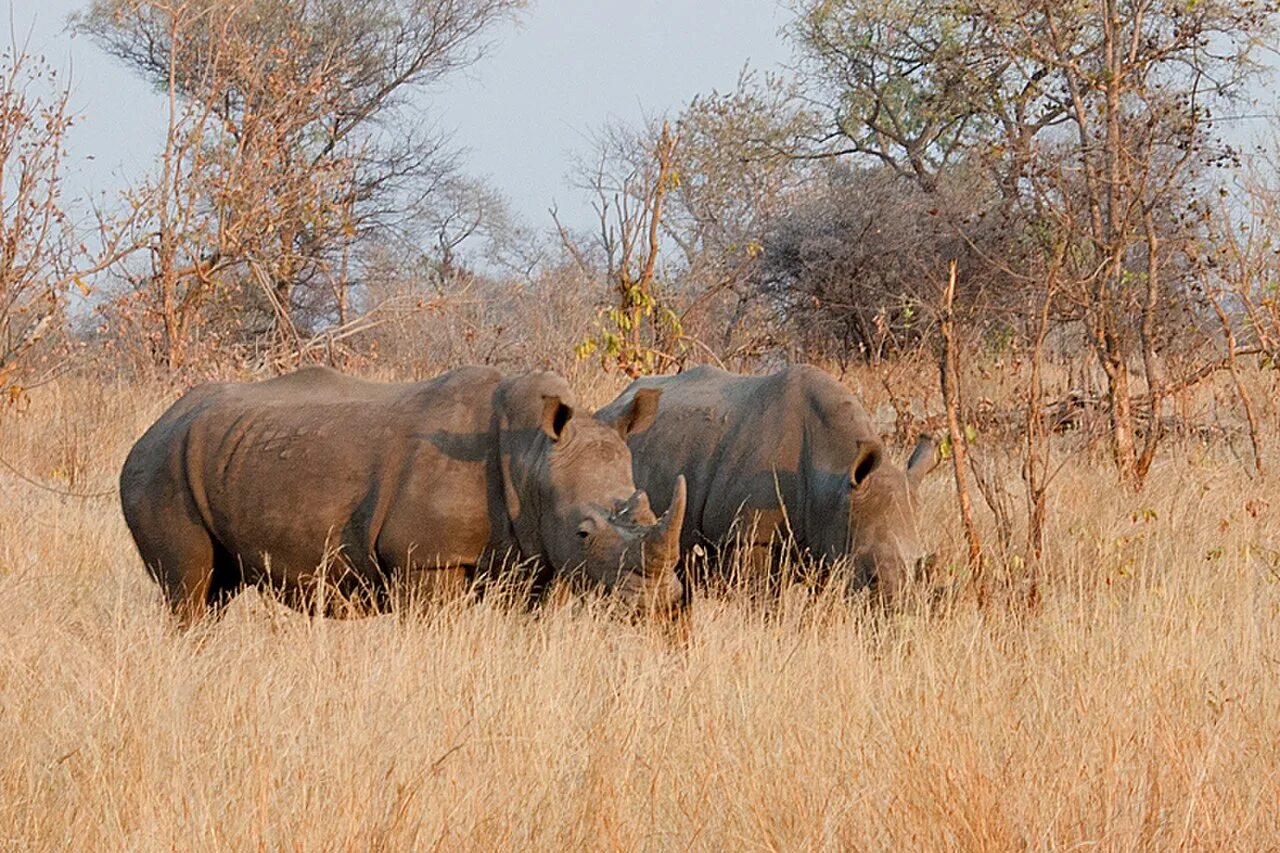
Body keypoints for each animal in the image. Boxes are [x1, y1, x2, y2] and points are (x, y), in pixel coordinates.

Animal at [117, 361, 691, 622]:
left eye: (645, 509)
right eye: (583, 532)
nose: (658, 603)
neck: (531, 457)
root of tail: (156, 424)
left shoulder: (533, 556)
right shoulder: (426, 558)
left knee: (218, 588)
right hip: (160, 468)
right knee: (189, 593)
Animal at [593, 366, 936, 596]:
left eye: (922, 568)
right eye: (872, 575)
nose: (901, 617)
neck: (835, 482)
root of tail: (610, 405)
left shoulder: (829, 537)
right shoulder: (749, 535)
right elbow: (762, 601)